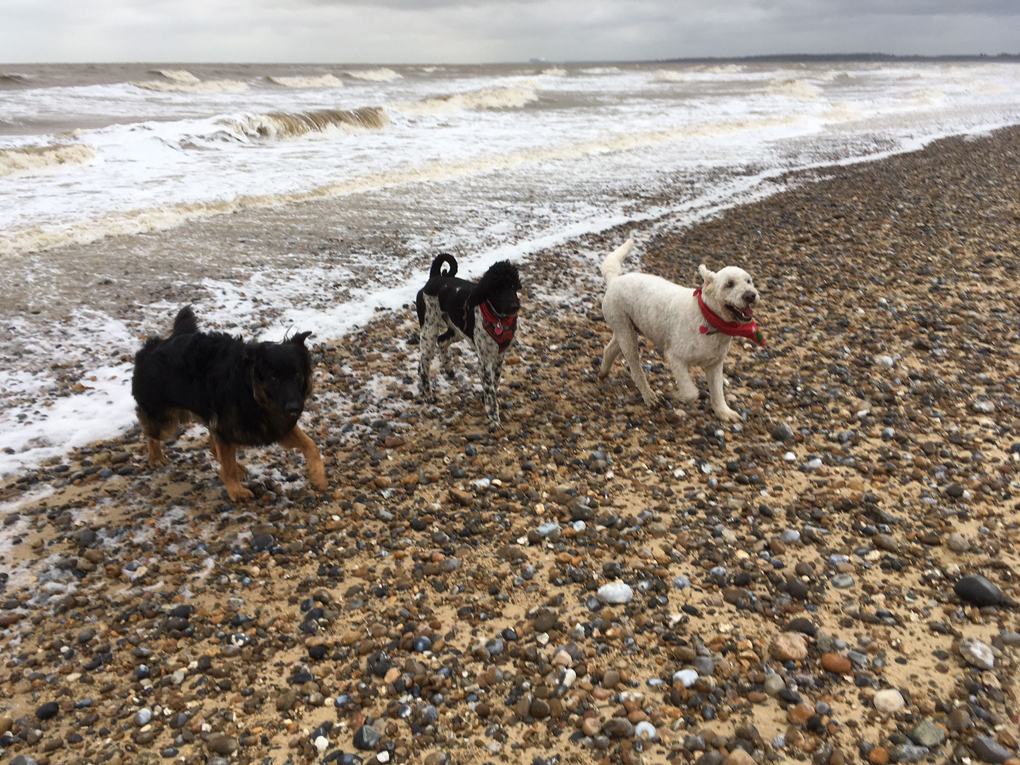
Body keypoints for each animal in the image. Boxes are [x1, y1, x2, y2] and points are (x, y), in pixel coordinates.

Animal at [129, 306, 324, 503]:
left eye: (297, 375)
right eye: (274, 378)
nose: (294, 408)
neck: (251, 393)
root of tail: (154, 346)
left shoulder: (276, 424)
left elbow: (312, 446)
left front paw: (317, 475)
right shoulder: (230, 427)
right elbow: (227, 468)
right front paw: (236, 491)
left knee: (213, 445)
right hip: (166, 423)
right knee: (152, 434)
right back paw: (155, 457)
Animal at [414, 256, 522, 432]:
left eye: (513, 285)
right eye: (496, 290)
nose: (514, 306)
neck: (498, 319)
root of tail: (435, 277)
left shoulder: (499, 357)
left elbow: (495, 383)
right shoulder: (485, 362)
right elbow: (491, 393)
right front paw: (494, 420)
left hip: (456, 329)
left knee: (442, 341)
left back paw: (448, 368)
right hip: (429, 329)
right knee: (423, 365)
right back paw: (428, 394)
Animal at [599, 238, 762, 422]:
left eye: (749, 281)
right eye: (729, 284)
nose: (750, 295)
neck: (708, 317)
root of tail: (614, 280)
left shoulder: (714, 364)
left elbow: (718, 392)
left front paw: (723, 412)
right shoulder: (676, 359)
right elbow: (691, 392)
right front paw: (676, 395)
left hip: (625, 329)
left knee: (609, 349)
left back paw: (603, 372)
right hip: (626, 334)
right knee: (636, 370)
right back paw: (649, 396)